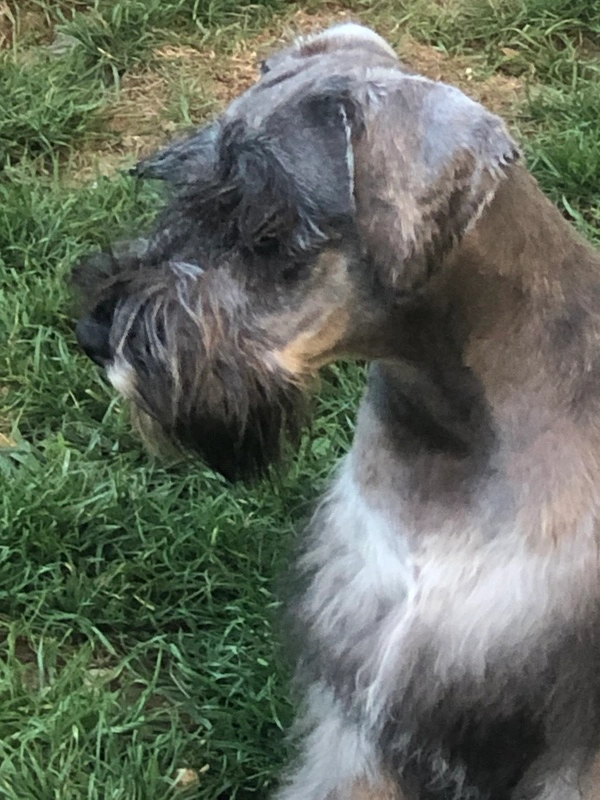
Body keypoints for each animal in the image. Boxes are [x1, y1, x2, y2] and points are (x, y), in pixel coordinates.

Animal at [71, 23, 600, 800]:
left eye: (265, 226)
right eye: (185, 189)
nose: (94, 332)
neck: (453, 430)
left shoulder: (566, 738)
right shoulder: (357, 702)